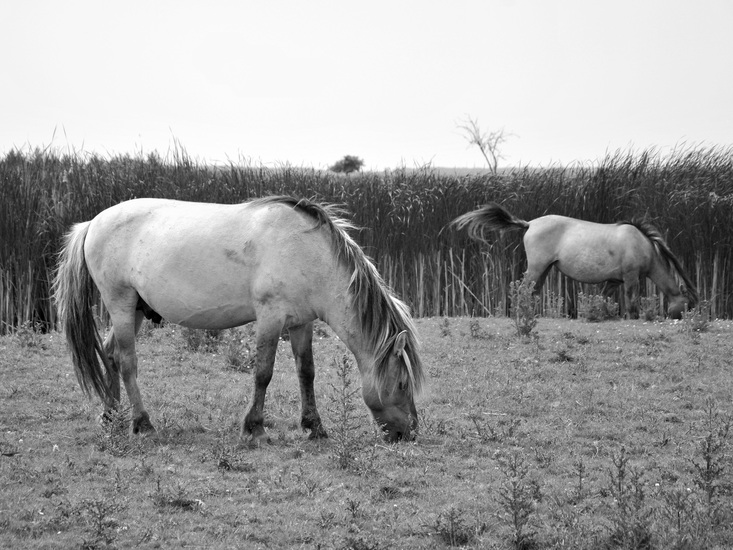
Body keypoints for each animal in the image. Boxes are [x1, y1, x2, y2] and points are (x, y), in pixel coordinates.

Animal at [53, 196, 424, 443]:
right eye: (402, 384)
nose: (409, 433)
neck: (306, 252)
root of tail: (92, 223)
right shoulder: (271, 317)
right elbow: (263, 373)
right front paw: (254, 428)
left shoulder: (300, 323)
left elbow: (306, 373)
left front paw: (314, 426)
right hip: (120, 303)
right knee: (128, 362)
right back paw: (142, 423)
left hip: (135, 311)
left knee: (111, 354)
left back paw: (111, 416)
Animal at [451, 202, 698, 319]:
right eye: (689, 305)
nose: (691, 320)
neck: (642, 243)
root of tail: (529, 223)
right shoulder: (631, 279)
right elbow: (632, 305)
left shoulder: (614, 281)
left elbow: (604, 300)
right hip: (537, 268)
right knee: (522, 290)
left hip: (544, 270)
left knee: (532, 292)